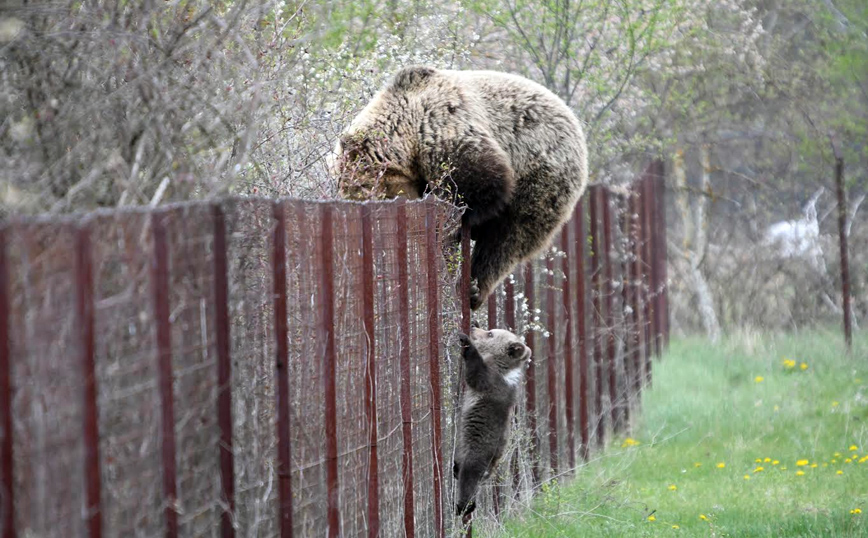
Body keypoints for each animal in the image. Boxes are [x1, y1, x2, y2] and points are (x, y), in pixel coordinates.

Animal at [334, 66, 588, 310]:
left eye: (378, 195)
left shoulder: (444, 128)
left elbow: (479, 184)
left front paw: (447, 224)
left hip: (542, 172)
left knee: (509, 237)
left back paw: (475, 288)